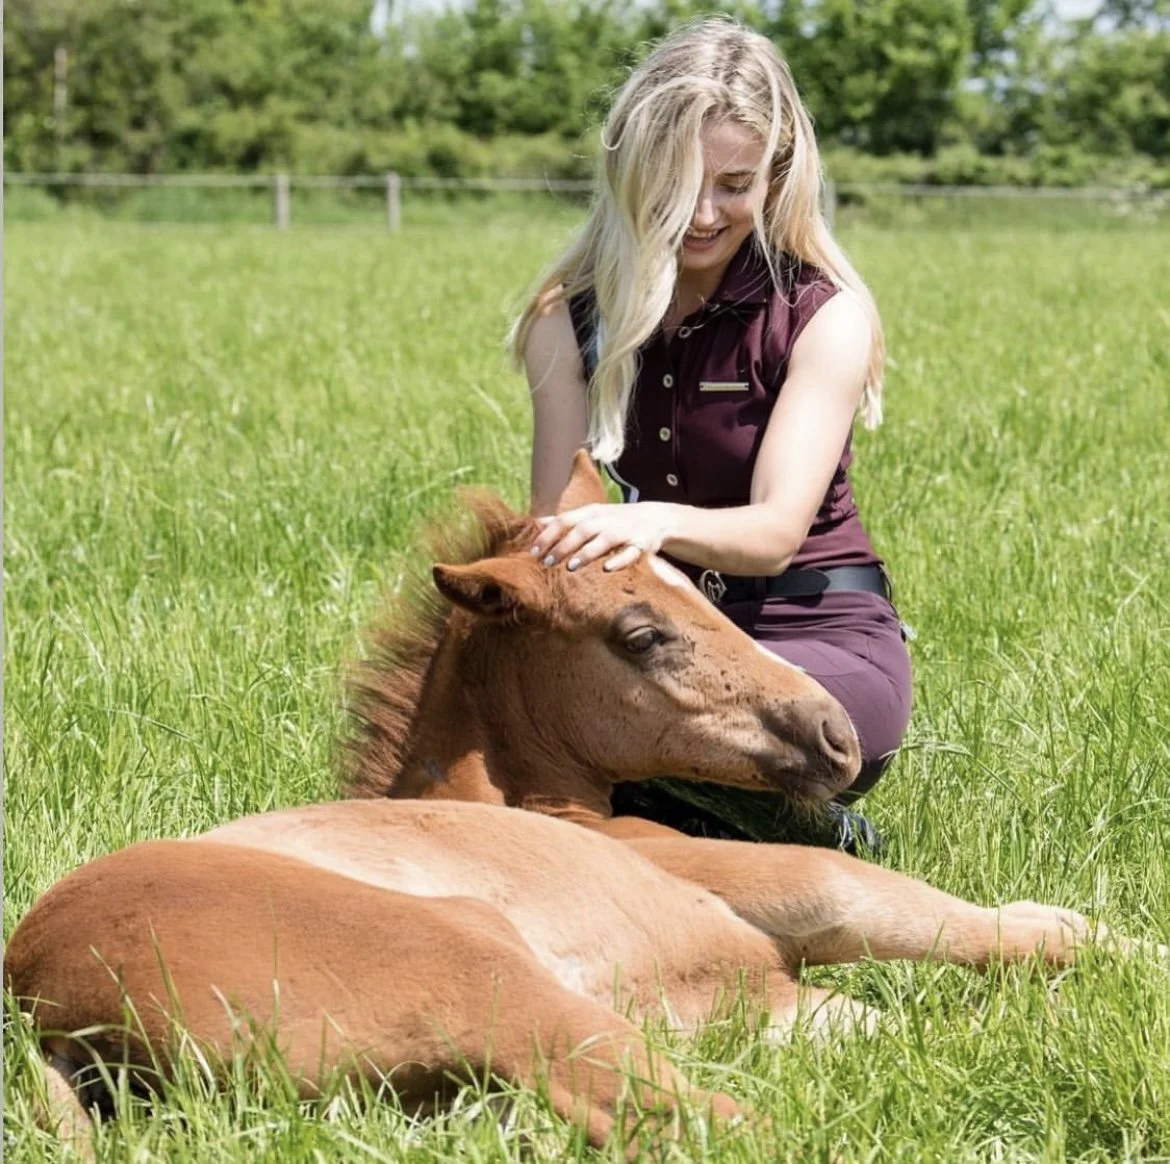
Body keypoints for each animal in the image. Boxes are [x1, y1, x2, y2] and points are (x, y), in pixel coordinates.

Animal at [5, 453, 1137, 1158]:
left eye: (692, 581)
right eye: (641, 633)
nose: (834, 735)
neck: (544, 805)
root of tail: (44, 1003)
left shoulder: (773, 1002)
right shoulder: (786, 894)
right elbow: (985, 927)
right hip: (492, 985)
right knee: (722, 1125)